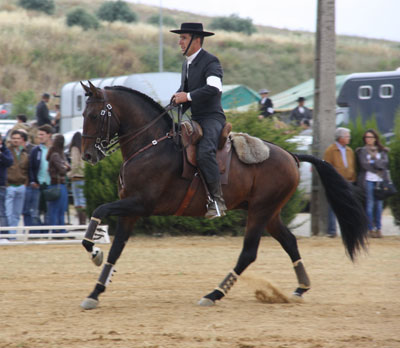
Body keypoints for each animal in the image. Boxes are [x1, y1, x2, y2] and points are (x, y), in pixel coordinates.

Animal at [79, 81, 368, 310]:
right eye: (83, 113)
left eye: (94, 115)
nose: (87, 156)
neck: (151, 145)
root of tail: (291, 155)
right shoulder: (130, 210)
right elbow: (116, 249)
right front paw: (95, 291)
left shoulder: (140, 204)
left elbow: (99, 212)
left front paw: (94, 251)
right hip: (270, 213)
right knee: (290, 242)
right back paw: (300, 288)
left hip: (260, 212)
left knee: (248, 253)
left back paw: (214, 294)